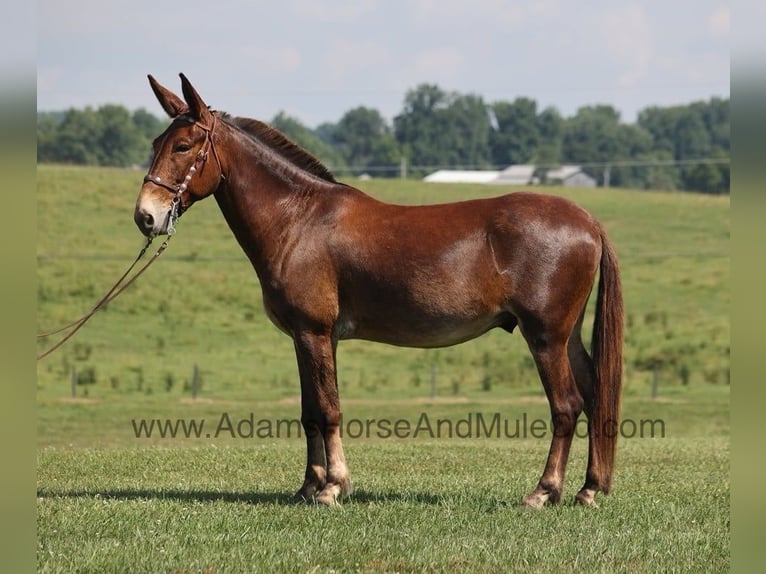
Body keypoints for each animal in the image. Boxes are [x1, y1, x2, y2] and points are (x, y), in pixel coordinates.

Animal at [135, 74, 623, 508]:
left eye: (183, 146)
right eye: (156, 143)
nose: (145, 216)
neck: (299, 219)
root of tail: (588, 221)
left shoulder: (314, 332)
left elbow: (328, 409)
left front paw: (333, 488)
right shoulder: (308, 338)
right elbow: (310, 412)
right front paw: (308, 487)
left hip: (545, 337)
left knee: (567, 406)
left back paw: (544, 492)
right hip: (567, 337)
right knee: (594, 396)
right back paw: (588, 489)